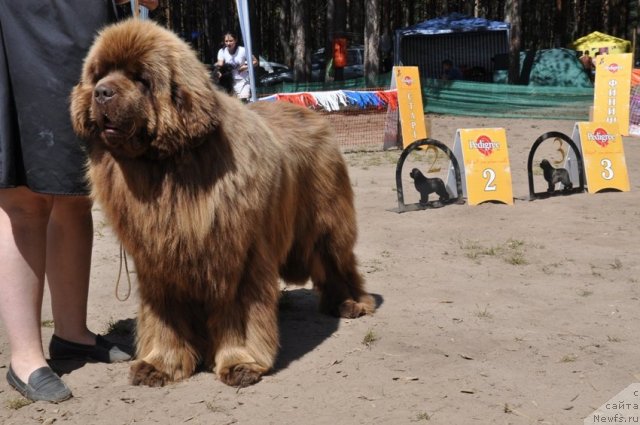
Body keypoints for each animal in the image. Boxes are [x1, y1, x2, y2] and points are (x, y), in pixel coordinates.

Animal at [70, 18, 376, 386]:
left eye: (141, 79)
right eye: (99, 74)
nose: (102, 92)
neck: (167, 170)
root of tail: (311, 113)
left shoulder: (238, 256)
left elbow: (239, 313)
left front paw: (240, 362)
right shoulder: (158, 261)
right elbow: (165, 316)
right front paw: (160, 363)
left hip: (326, 222)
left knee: (337, 260)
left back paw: (352, 303)